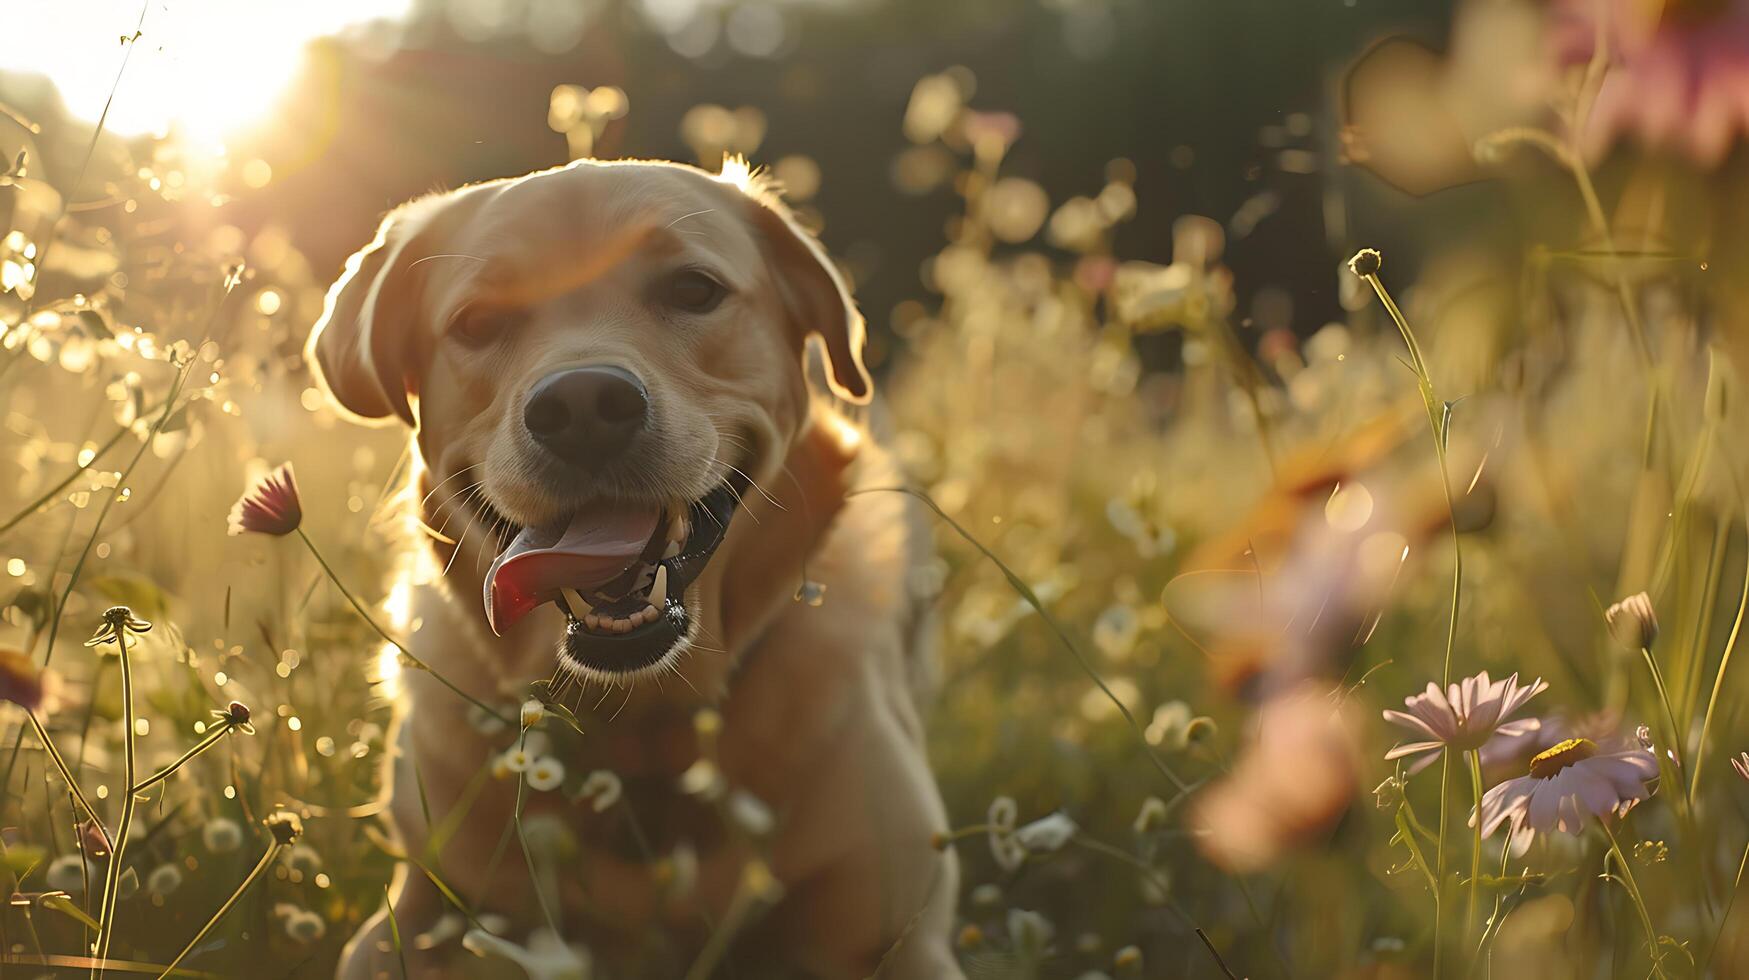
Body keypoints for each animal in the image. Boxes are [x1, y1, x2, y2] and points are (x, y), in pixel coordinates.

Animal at [307, 156, 965, 973]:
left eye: (693, 289)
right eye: (476, 323)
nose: (582, 406)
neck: (642, 725)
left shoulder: (897, 932)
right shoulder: (415, 914)